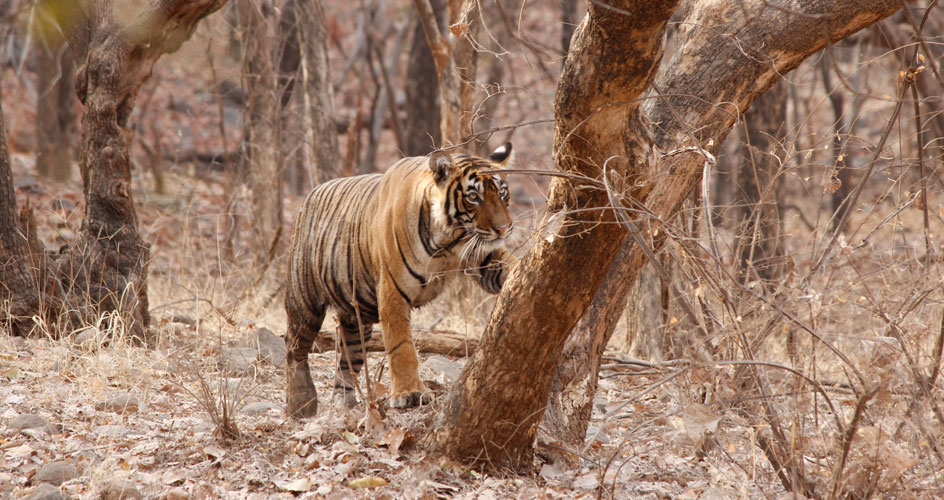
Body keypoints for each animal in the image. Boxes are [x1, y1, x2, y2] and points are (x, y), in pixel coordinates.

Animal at [284, 143, 520, 416]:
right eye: (473, 197)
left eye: (502, 193)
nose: (503, 229)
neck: (449, 241)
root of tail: (310, 194)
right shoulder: (393, 289)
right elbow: (401, 345)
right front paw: (411, 394)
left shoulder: (483, 255)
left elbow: (511, 264)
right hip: (304, 301)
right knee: (294, 348)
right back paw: (301, 402)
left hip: (355, 319)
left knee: (347, 357)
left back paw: (345, 404)